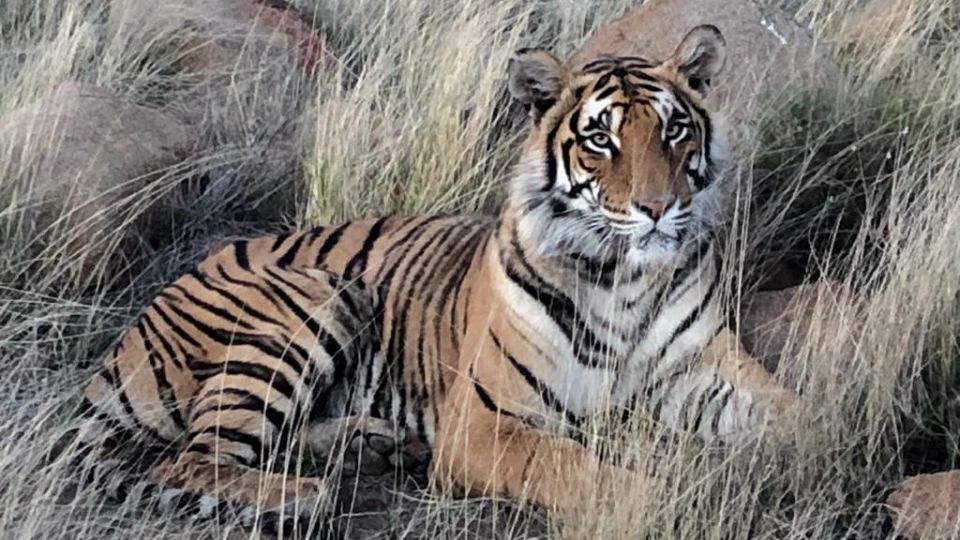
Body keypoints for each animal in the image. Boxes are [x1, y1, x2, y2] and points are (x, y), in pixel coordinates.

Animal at [77, 25, 795, 535]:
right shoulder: (484, 423)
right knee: (191, 457)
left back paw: (375, 444)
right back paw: (303, 498)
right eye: (600, 140)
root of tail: (122, 345)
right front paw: (656, 502)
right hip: (312, 295)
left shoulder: (702, 367)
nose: (656, 207)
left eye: (674, 130)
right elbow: (573, 466)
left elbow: (792, 413)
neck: (626, 278)